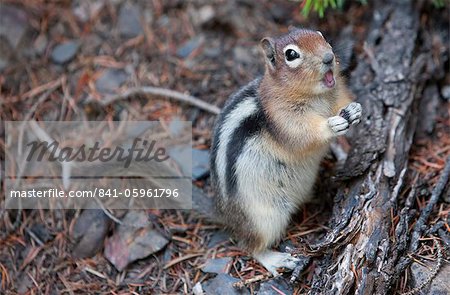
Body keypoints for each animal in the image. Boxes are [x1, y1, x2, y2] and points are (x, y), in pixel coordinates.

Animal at [210, 28, 362, 276]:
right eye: (291, 55)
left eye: (321, 35)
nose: (329, 57)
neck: (317, 96)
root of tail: (226, 216)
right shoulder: (284, 118)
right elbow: (303, 134)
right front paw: (331, 126)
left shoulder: (337, 94)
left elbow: (344, 102)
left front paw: (355, 110)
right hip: (265, 217)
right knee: (250, 246)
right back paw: (276, 260)